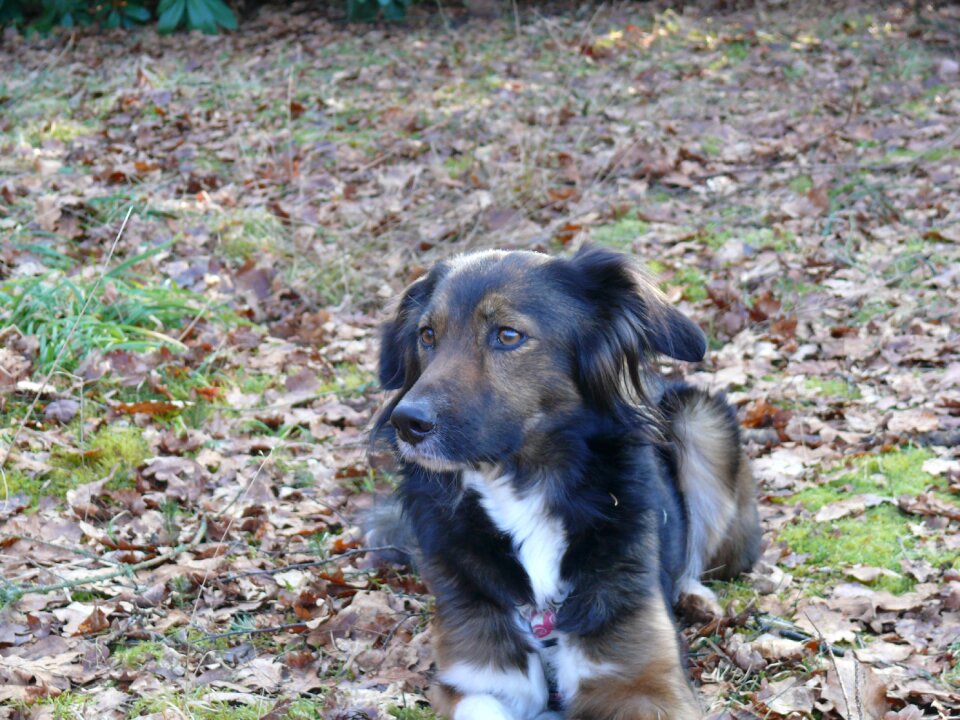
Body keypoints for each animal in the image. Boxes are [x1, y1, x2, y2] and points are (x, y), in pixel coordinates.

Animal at [366, 246, 756, 720]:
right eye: (427, 335)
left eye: (508, 335)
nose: (407, 422)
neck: (522, 487)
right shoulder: (474, 680)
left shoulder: (642, 683)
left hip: (703, 420)